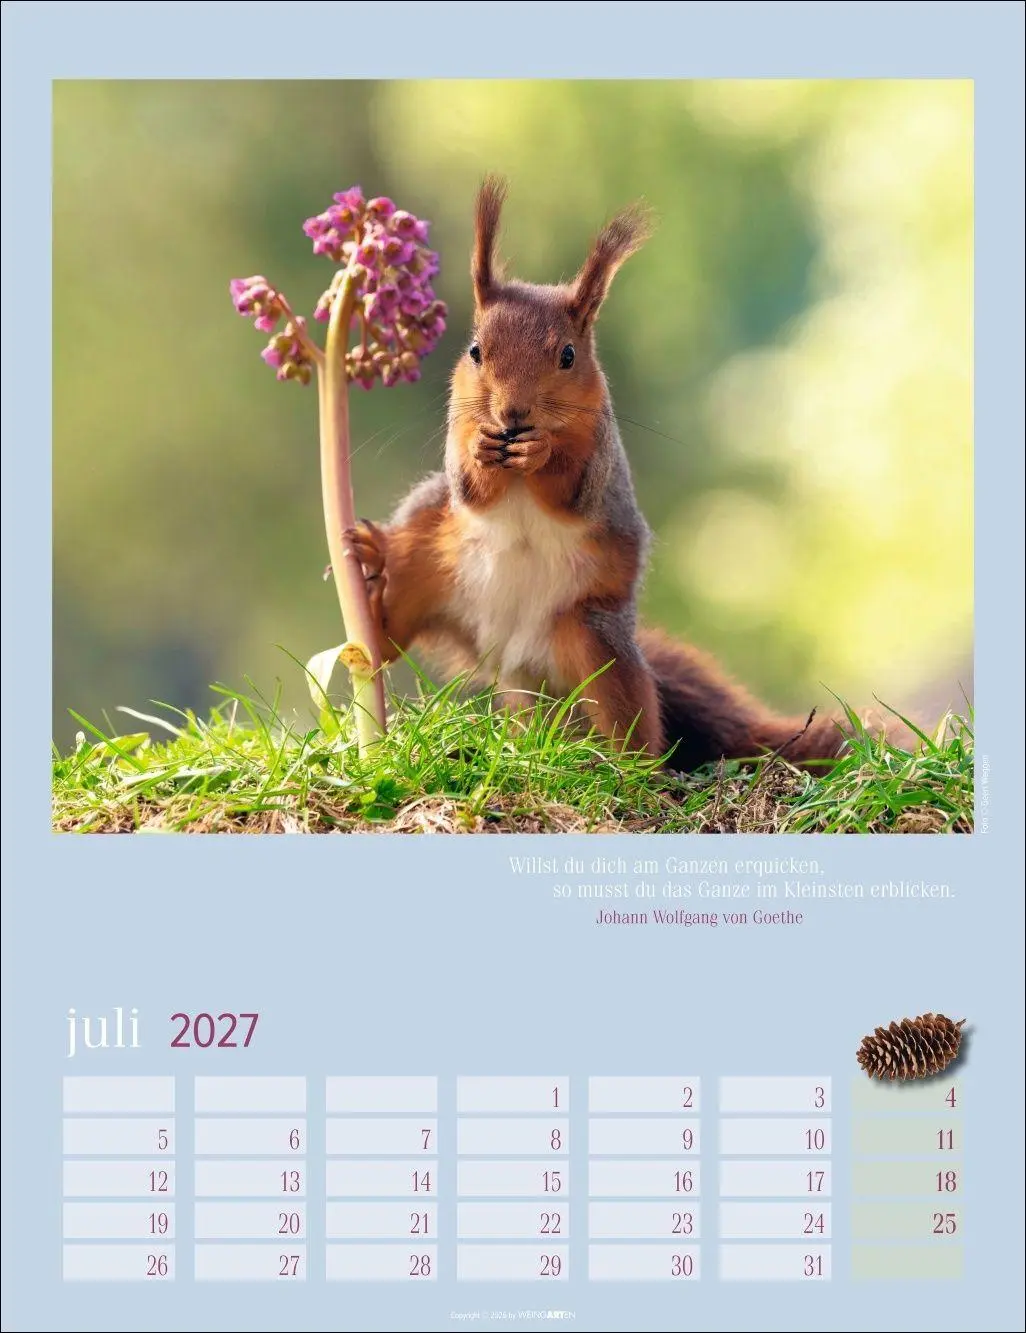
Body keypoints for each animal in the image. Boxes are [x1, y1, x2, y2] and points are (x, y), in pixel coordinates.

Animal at [345, 176, 896, 769]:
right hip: (425, 566)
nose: (513, 415)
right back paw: (371, 587)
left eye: (567, 355)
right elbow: (469, 487)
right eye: (475, 351)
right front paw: (483, 451)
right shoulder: (458, 432)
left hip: (594, 642)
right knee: (392, 635)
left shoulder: (601, 455)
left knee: (632, 718)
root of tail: (512, 655)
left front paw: (540, 451)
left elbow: (573, 489)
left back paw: (625, 766)